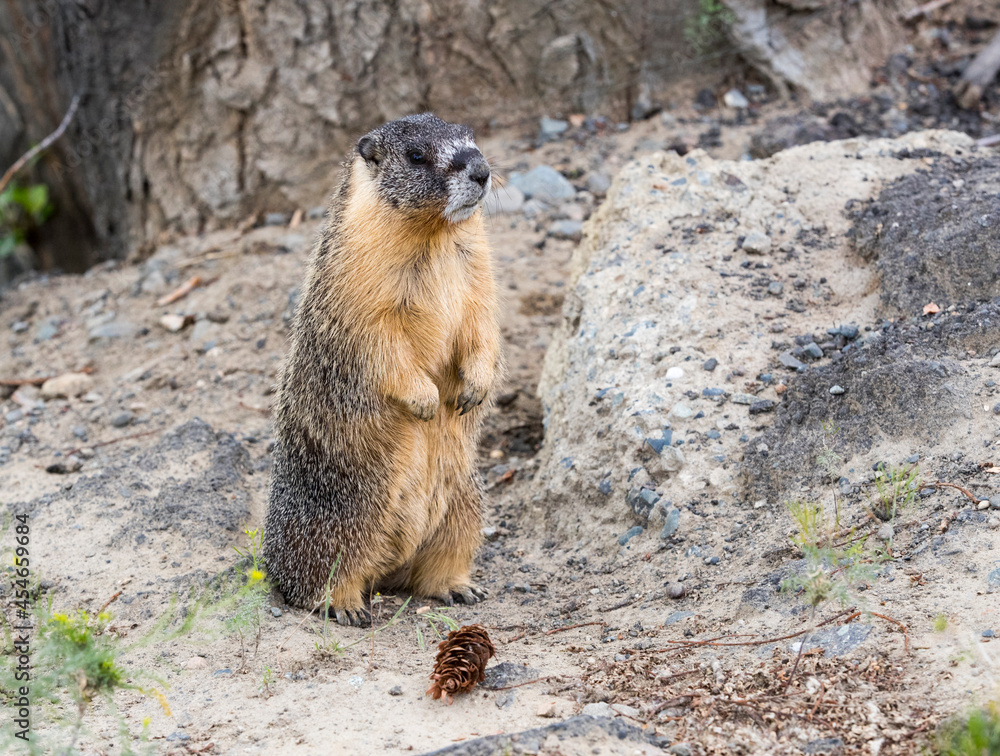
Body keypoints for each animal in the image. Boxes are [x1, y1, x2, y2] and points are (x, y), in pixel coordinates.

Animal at [263, 114, 502, 626]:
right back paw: (347, 605)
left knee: (434, 565)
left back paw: (459, 587)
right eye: (415, 156)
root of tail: (386, 570)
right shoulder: (359, 277)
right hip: (336, 520)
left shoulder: (478, 266)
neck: (434, 236)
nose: (481, 171)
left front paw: (473, 387)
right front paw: (426, 401)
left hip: (465, 506)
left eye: (471, 136)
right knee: (316, 578)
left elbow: (481, 319)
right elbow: (381, 339)